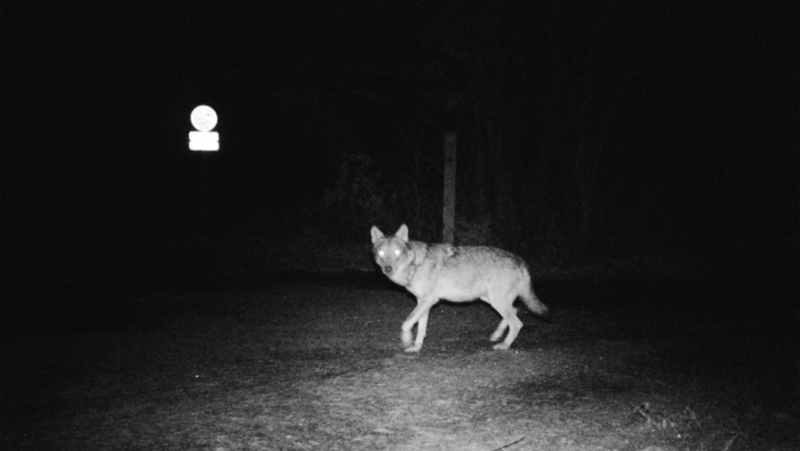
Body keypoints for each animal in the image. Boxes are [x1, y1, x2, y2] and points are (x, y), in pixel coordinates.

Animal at [370, 225, 552, 354]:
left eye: (396, 252)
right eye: (381, 253)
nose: (387, 269)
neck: (415, 263)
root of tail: (521, 260)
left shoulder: (429, 300)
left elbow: (406, 323)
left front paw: (406, 340)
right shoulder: (423, 302)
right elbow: (420, 328)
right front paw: (416, 347)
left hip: (496, 301)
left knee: (517, 323)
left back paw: (504, 345)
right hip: (491, 300)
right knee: (514, 311)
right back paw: (496, 335)